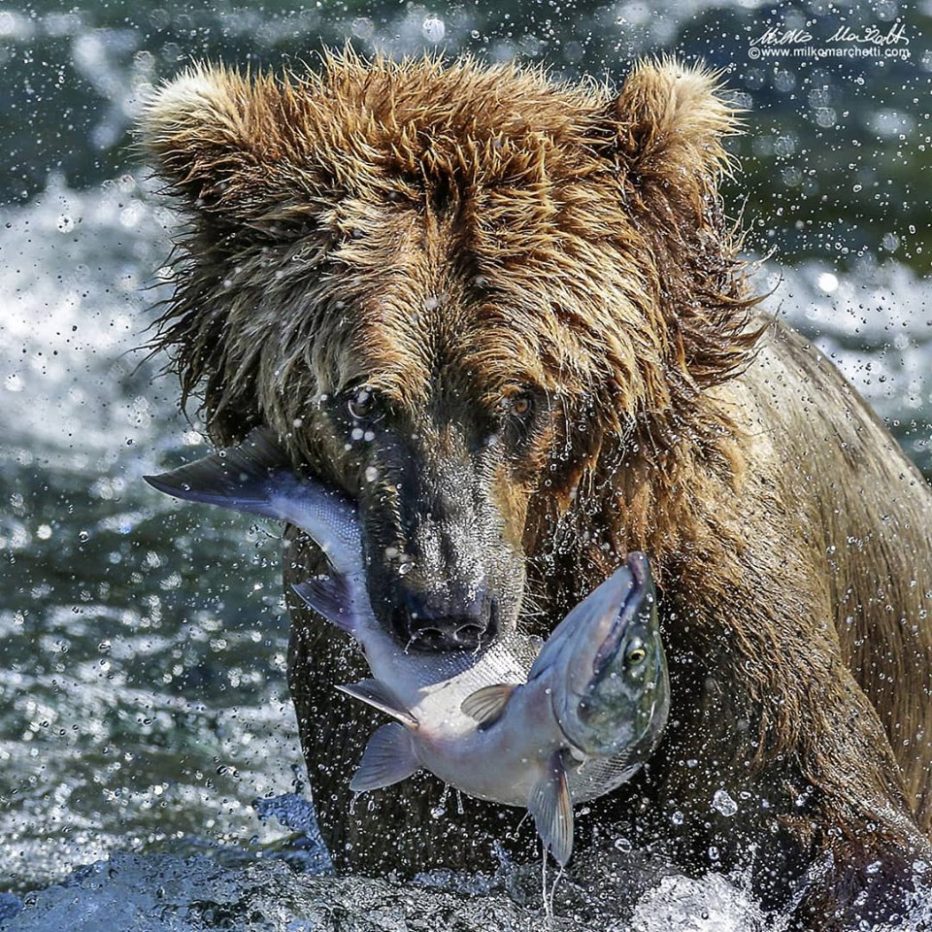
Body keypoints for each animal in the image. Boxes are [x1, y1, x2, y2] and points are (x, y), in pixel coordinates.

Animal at [138, 52, 932, 932]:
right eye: (365, 399)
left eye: (521, 397)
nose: (444, 613)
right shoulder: (359, 696)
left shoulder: (731, 612)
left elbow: (822, 807)